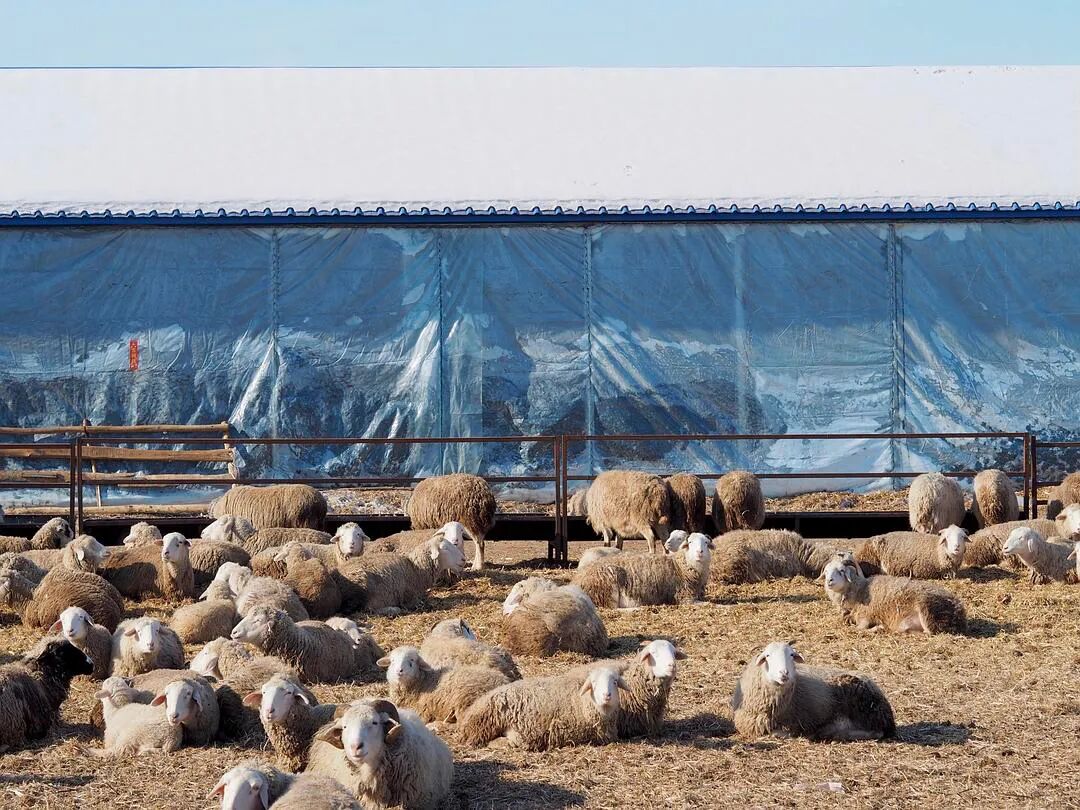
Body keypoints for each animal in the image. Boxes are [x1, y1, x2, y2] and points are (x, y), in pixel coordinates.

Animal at [335, 536, 466, 616]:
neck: (415, 568)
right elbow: (420, 603)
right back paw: (393, 609)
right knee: (365, 609)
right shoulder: (410, 597)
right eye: (445, 548)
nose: (463, 559)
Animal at [378, 646, 511, 723]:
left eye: (412, 661)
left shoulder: (422, 710)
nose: (399, 671)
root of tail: (504, 681)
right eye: (392, 661)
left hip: (464, 698)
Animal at [572, 532, 713, 607]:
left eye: (706, 542)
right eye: (690, 542)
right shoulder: (684, 597)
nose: (699, 552)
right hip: (606, 588)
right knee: (613, 608)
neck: (680, 565)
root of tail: (577, 581)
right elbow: (707, 603)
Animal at [732, 642, 896, 741]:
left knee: (876, 732)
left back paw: (833, 732)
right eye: (767, 655)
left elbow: (782, 733)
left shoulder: (793, 725)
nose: (784, 673)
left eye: (791, 655)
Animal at [821, 553, 967, 634]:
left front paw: (877, 628)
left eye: (841, 570)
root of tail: (959, 611)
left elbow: (859, 629)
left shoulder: (866, 616)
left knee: (929, 632)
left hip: (928, 611)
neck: (859, 590)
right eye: (826, 571)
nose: (829, 581)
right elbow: (846, 619)